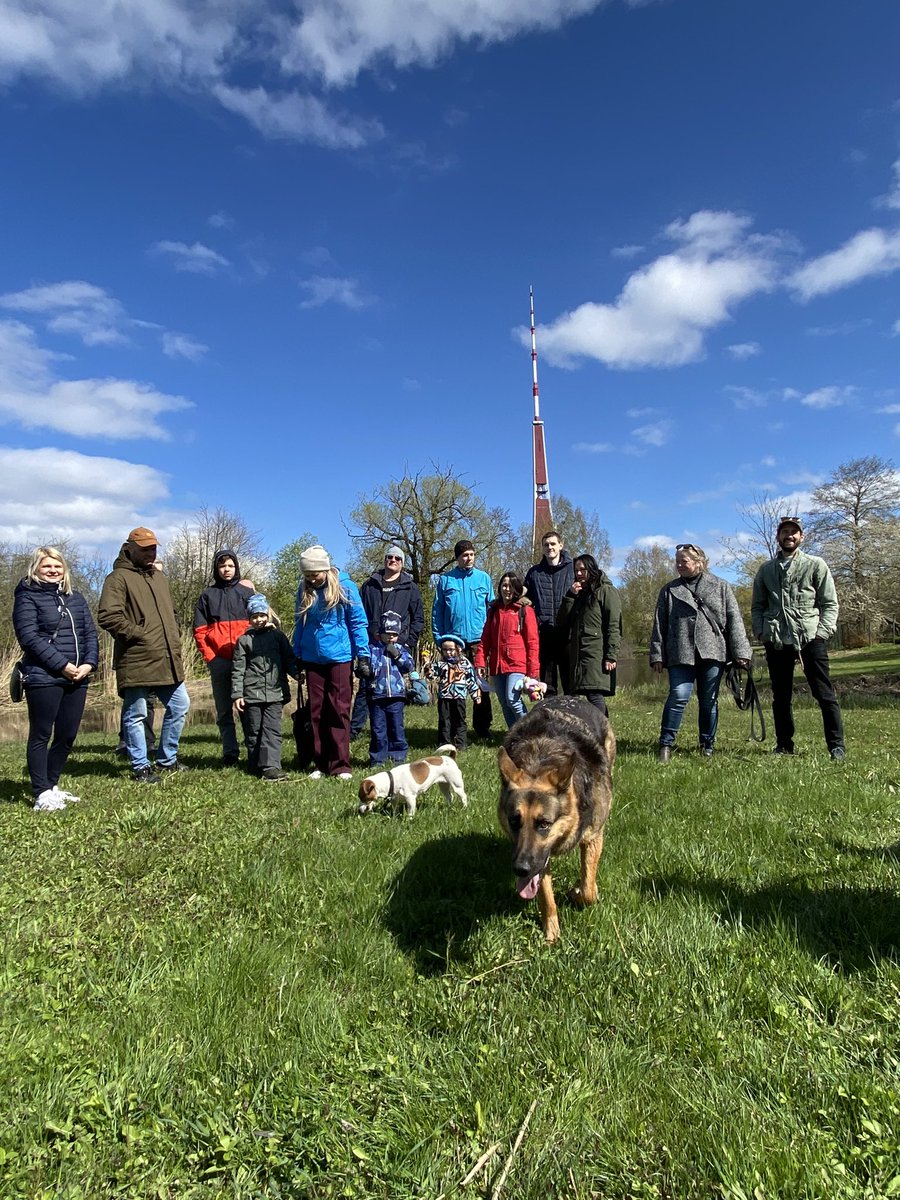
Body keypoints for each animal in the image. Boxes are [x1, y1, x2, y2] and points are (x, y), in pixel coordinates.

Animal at [496, 700, 619, 940]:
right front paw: (551, 933)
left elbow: (588, 889)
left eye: (544, 824)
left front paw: (579, 891)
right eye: (514, 821)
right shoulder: (539, 859)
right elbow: (546, 896)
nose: (520, 869)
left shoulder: (592, 837)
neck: (540, 761)